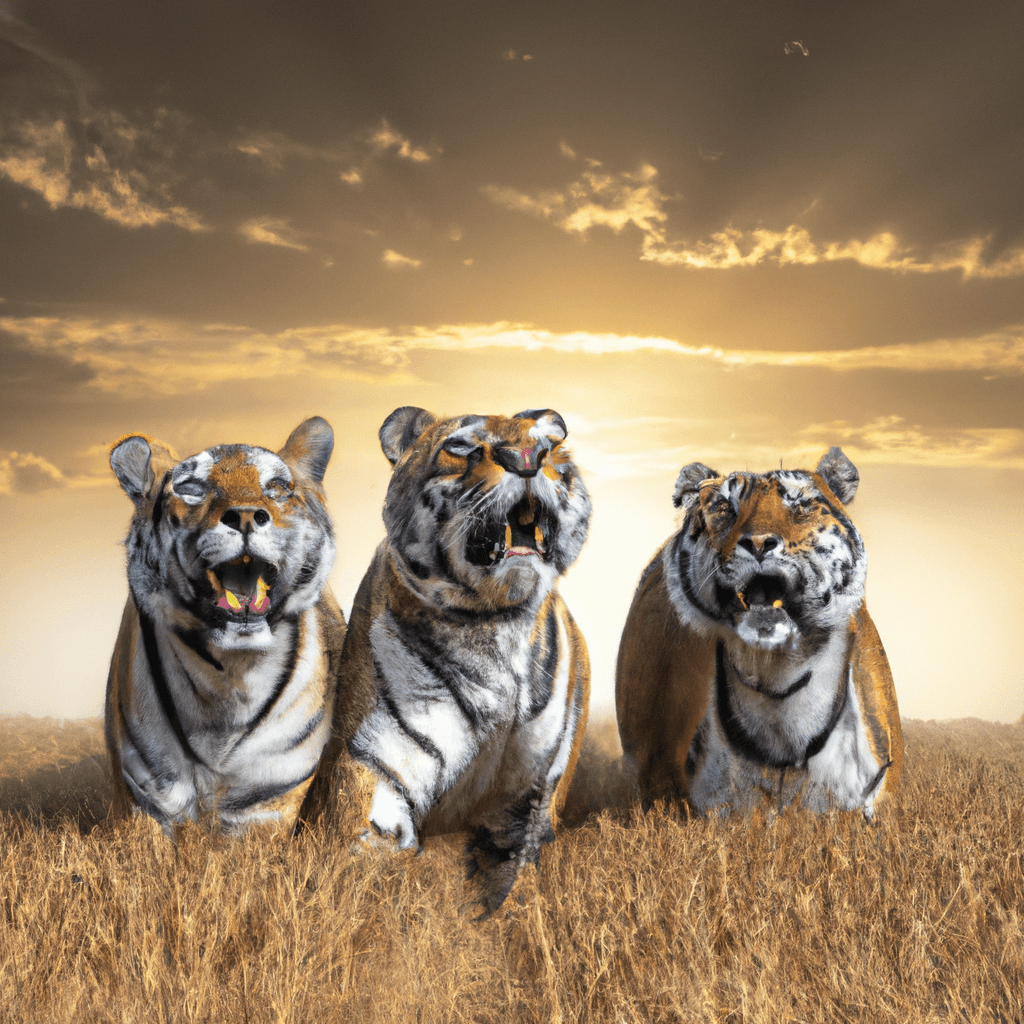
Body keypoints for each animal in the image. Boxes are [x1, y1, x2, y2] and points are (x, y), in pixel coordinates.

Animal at [105, 416, 348, 835]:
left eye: (277, 487)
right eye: (191, 488)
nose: (247, 516)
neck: (227, 677)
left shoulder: (266, 801)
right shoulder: (147, 796)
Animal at [326, 406, 591, 915]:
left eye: (548, 446)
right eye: (461, 447)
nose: (528, 458)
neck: (496, 622)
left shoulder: (530, 799)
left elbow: (512, 886)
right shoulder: (373, 772)